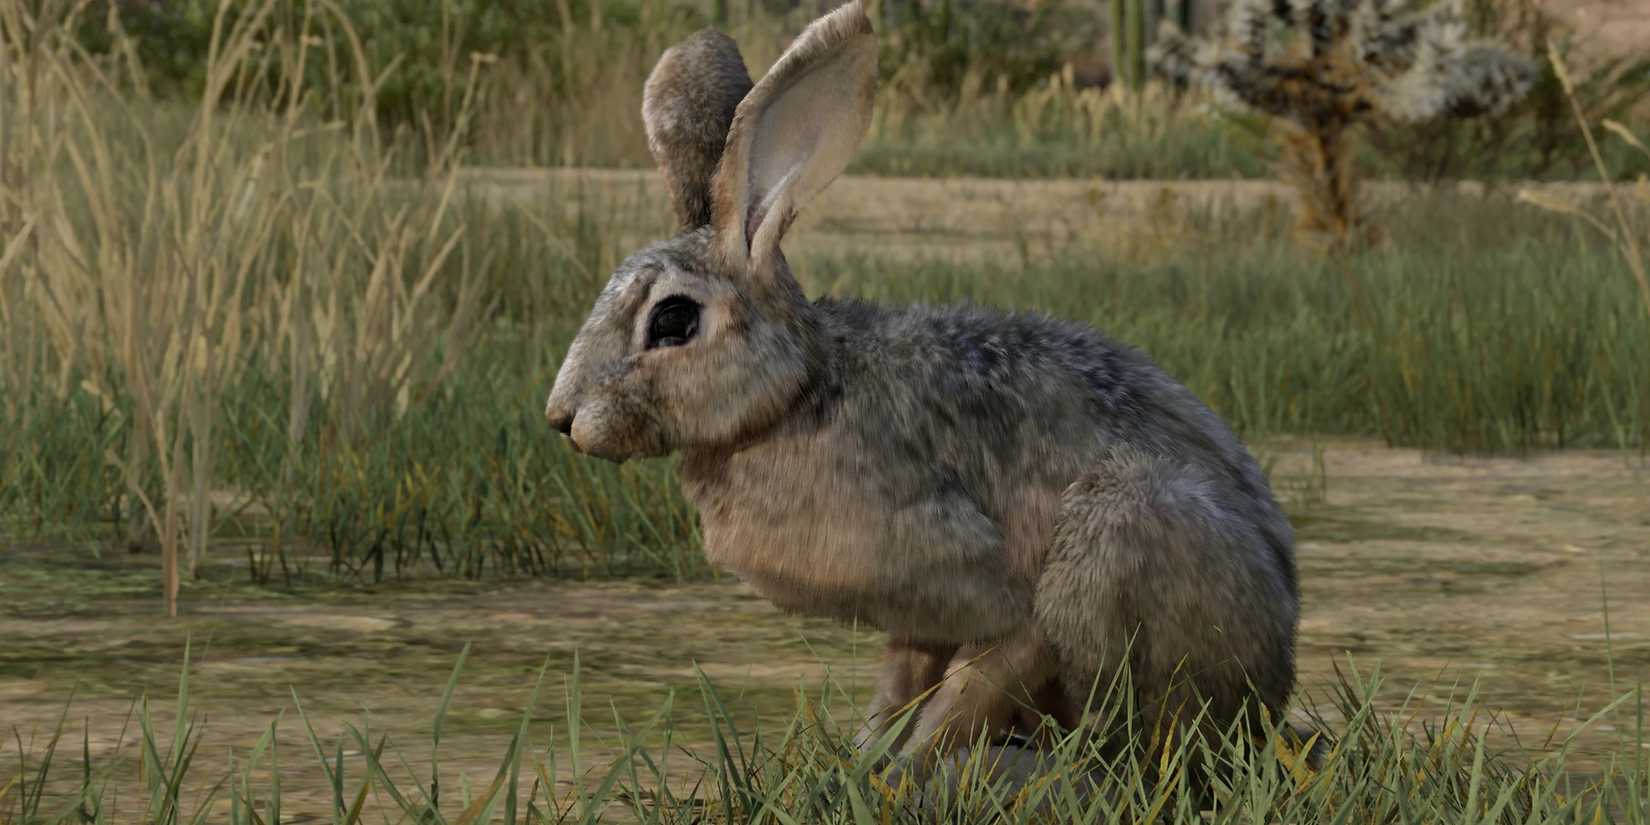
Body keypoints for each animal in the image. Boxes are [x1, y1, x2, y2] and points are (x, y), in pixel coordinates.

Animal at [543, 0, 1300, 780]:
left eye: (672, 319)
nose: (561, 416)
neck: (799, 392)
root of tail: (1279, 659)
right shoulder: (917, 618)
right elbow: (899, 688)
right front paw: (859, 761)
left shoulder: (1002, 595)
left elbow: (966, 691)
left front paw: (899, 773)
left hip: (1123, 526)